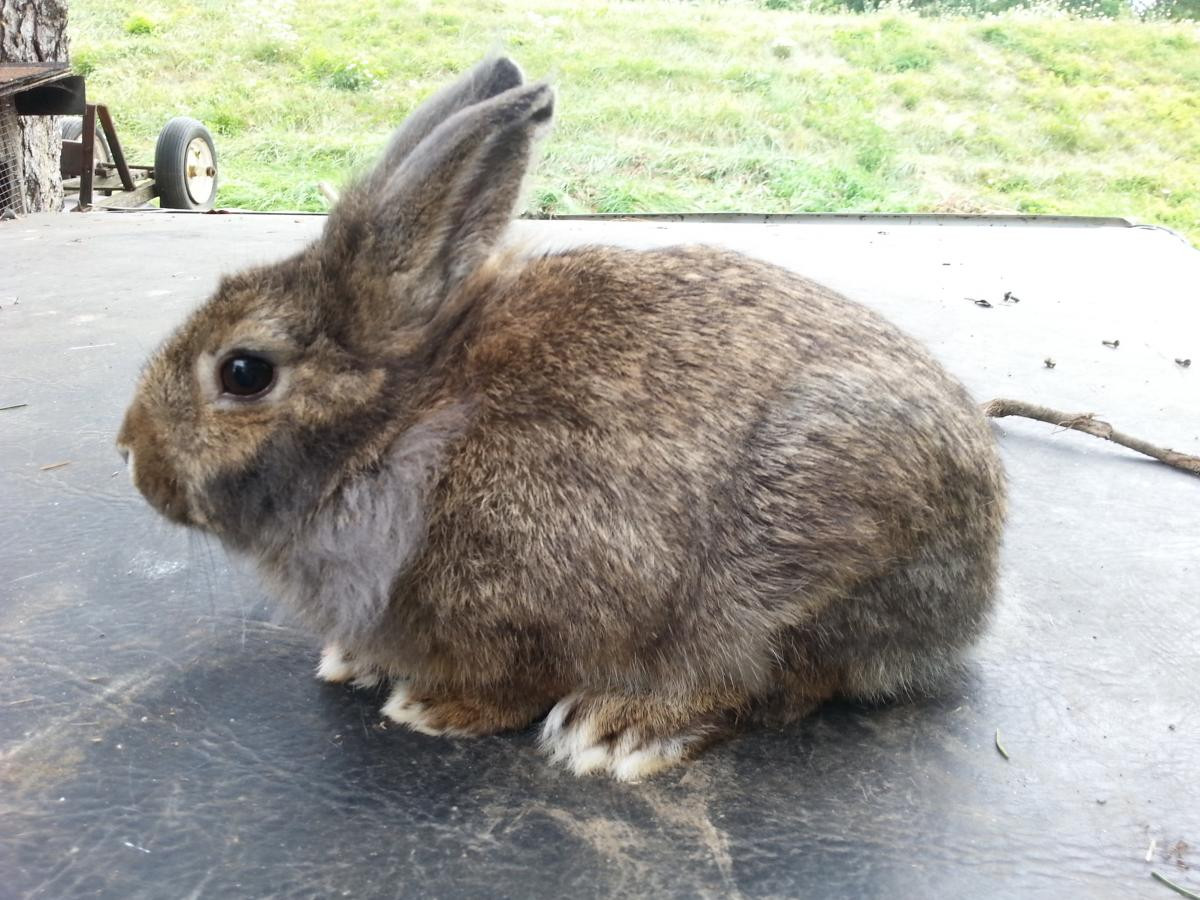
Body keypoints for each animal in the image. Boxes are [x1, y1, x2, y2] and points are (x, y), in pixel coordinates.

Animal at [117, 56, 1006, 781]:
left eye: (244, 372)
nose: (131, 454)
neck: (398, 427)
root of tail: (975, 589)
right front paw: (353, 663)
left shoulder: (531, 603)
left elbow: (516, 681)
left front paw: (430, 709)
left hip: (795, 562)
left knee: (770, 680)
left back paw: (618, 731)